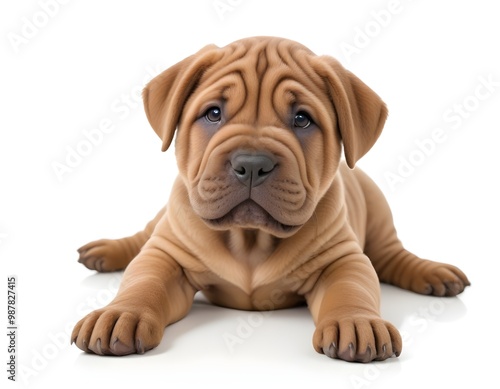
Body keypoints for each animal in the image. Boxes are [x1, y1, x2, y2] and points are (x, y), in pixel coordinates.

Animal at [70, 35, 468, 360]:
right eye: (213, 113)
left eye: (302, 120)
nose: (251, 164)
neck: (250, 239)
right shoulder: (167, 254)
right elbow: (143, 282)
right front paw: (121, 313)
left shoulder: (343, 259)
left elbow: (352, 289)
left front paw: (357, 322)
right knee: (141, 237)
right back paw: (105, 251)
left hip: (379, 216)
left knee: (392, 256)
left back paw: (432, 272)